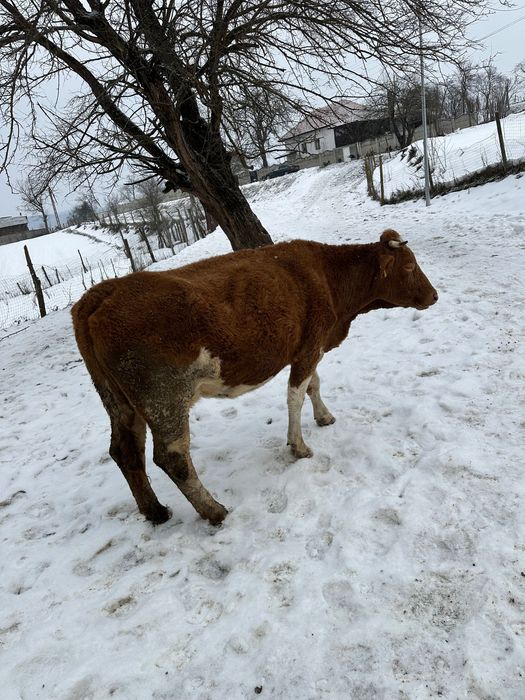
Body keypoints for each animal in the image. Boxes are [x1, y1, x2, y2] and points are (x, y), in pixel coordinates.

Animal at [72, 229, 437, 526]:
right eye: (409, 267)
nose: (434, 295)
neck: (327, 275)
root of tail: (100, 294)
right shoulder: (309, 346)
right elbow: (295, 395)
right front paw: (298, 445)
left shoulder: (310, 345)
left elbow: (314, 385)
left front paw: (324, 417)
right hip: (163, 397)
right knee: (172, 457)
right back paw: (213, 510)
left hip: (118, 401)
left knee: (125, 450)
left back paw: (155, 511)